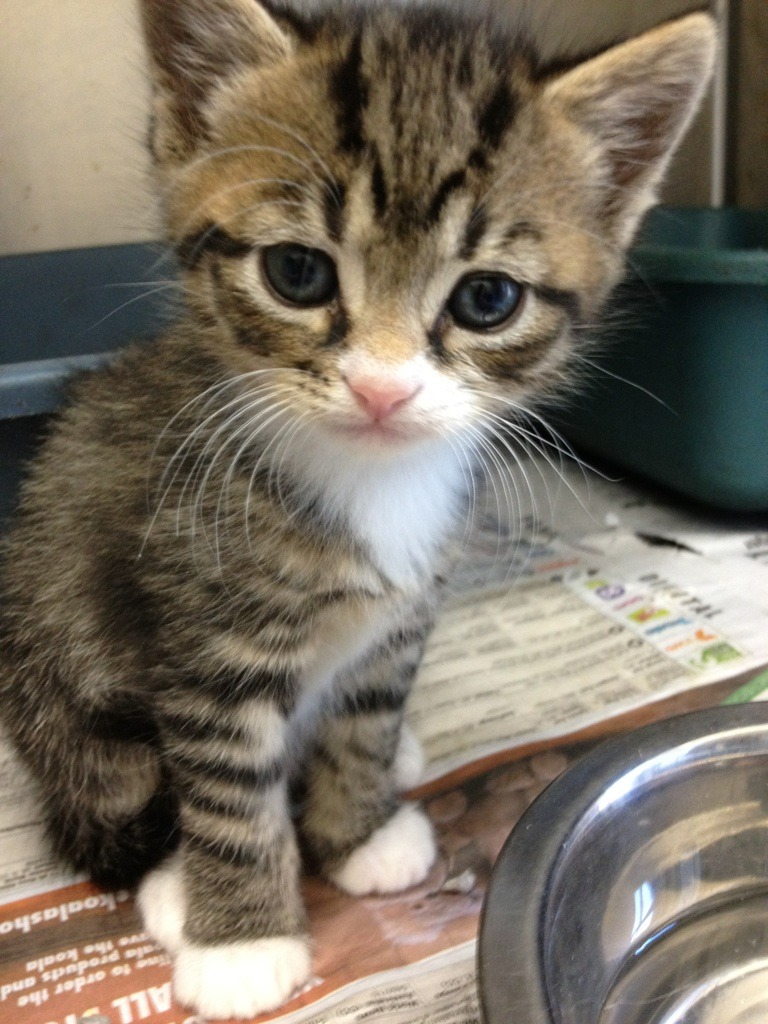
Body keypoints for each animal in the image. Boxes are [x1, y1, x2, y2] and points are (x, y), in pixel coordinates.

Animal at [0, 0, 715, 1018]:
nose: (382, 388)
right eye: (297, 273)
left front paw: (362, 833)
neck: (370, 477)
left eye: (487, 298)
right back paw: (177, 888)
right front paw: (242, 939)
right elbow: (228, 789)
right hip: (60, 665)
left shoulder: (404, 616)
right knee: (115, 795)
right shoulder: (208, 640)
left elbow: (366, 719)